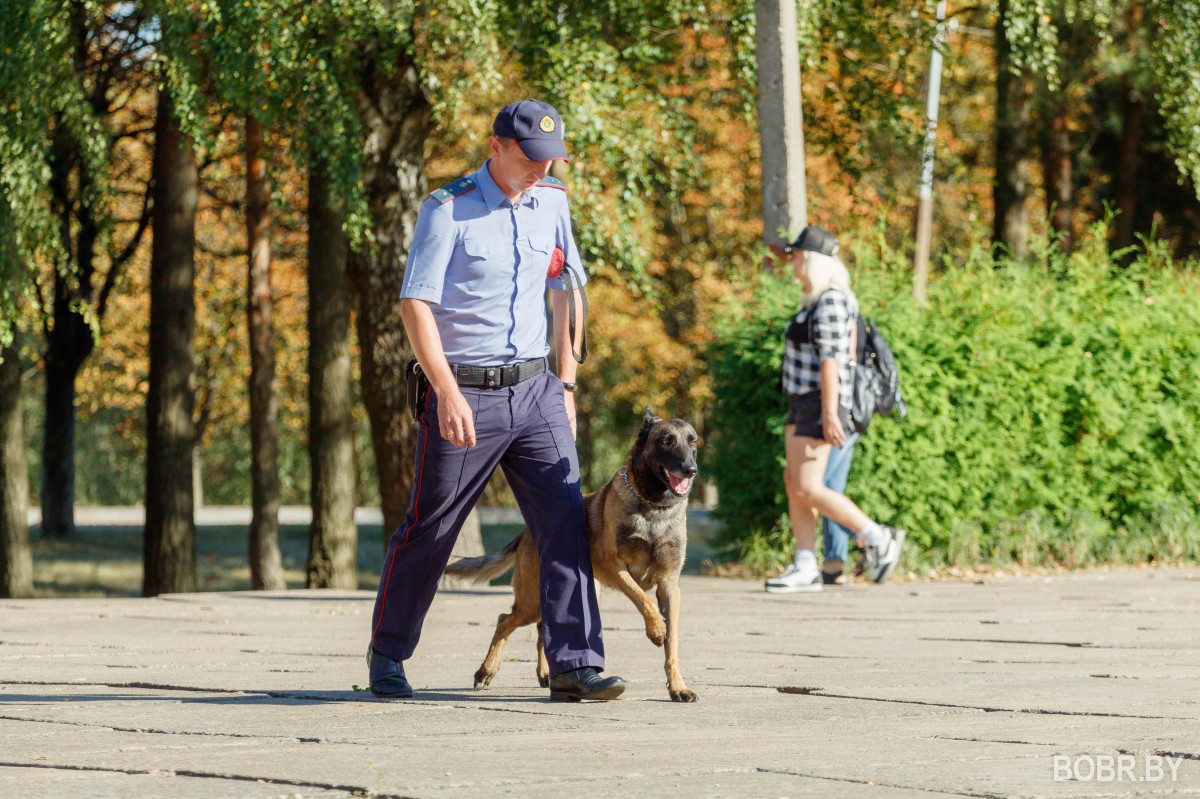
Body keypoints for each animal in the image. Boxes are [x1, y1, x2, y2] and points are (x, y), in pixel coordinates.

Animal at [446, 407, 700, 700]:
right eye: (666, 441)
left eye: (693, 442)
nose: (691, 470)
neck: (653, 507)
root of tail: (527, 531)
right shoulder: (617, 569)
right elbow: (643, 600)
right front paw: (656, 628)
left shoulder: (669, 586)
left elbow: (673, 644)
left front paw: (677, 687)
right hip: (531, 601)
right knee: (504, 621)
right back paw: (485, 671)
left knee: (543, 629)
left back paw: (548, 674)